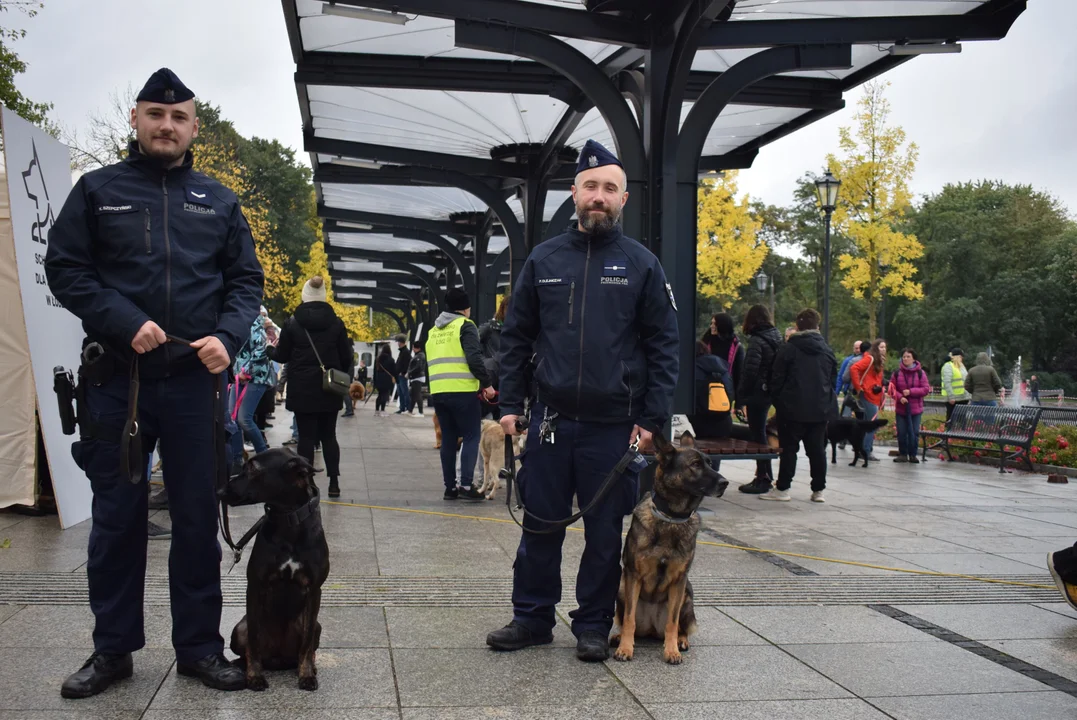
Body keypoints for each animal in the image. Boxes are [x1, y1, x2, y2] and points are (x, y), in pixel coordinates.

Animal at [217, 445, 327, 688]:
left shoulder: (314, 590)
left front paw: (306, 675)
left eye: (253, 469)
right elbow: (253, 640)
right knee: (248, 647)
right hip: (239, 627)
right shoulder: (255, 586)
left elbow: (306, 645)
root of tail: (278, 659)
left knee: (307, 646)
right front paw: (254, 675)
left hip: (317, 625)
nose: (219, 491)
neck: (288, 520)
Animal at [611, 432, 728, 662]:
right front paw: (626, 648)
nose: (725, 482)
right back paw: (619, 637)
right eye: (695, 464)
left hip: (687, 597)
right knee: (631, 621)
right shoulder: (633, 575)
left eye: (710, 463)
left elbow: (672, 623)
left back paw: (681, 641)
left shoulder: (679, 581)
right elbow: (629, 618)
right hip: (621, 588)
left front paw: (671, 650)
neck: (671, 518)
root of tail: (650, 628)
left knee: (679, 627)